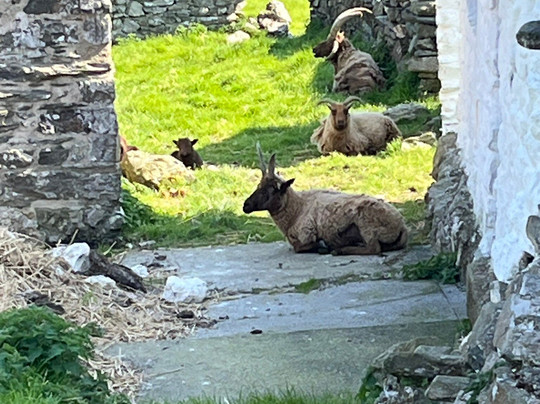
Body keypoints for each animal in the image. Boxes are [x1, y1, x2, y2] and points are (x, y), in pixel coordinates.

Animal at [242, 145, 408, 255]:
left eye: (268, 190)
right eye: (258, 186)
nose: (245, 205)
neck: (296, 209)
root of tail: (401, 227)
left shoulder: (306, 234)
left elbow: (299, 248)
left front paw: (323, 246)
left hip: (367, 225)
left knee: (374, 248)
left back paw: (339, 250)